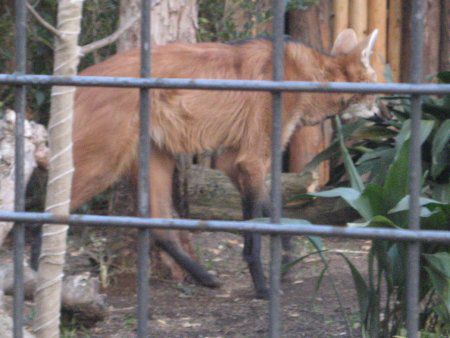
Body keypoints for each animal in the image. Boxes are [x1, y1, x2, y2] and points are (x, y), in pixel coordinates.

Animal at [71, 29, 380, 298]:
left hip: (155, 155)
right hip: (101, 164)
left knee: (157, 224)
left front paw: (286, 261)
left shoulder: (232, 161)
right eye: (376, 89)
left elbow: (271, 213)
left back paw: (205, 277)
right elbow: (255, 231)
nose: (383, 113)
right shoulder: (252, 159)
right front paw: (264, 288)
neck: (307, 76)